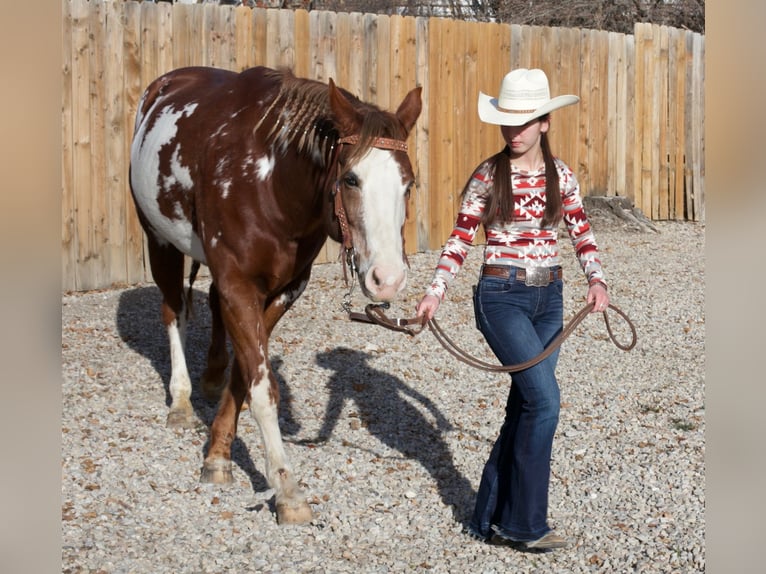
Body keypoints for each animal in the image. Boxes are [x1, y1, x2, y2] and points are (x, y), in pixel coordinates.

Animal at [129, 65, 422, 524]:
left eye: (409, 185)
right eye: (350, 179)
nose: (387, 278)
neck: (271, 183)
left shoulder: (284, 289)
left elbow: (245, 373)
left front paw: (218, 454)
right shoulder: (239, 284)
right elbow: (262, 389)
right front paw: (286, 487)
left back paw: (210, 376)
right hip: (158, 240)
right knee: (173, 310)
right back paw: (181, 400)